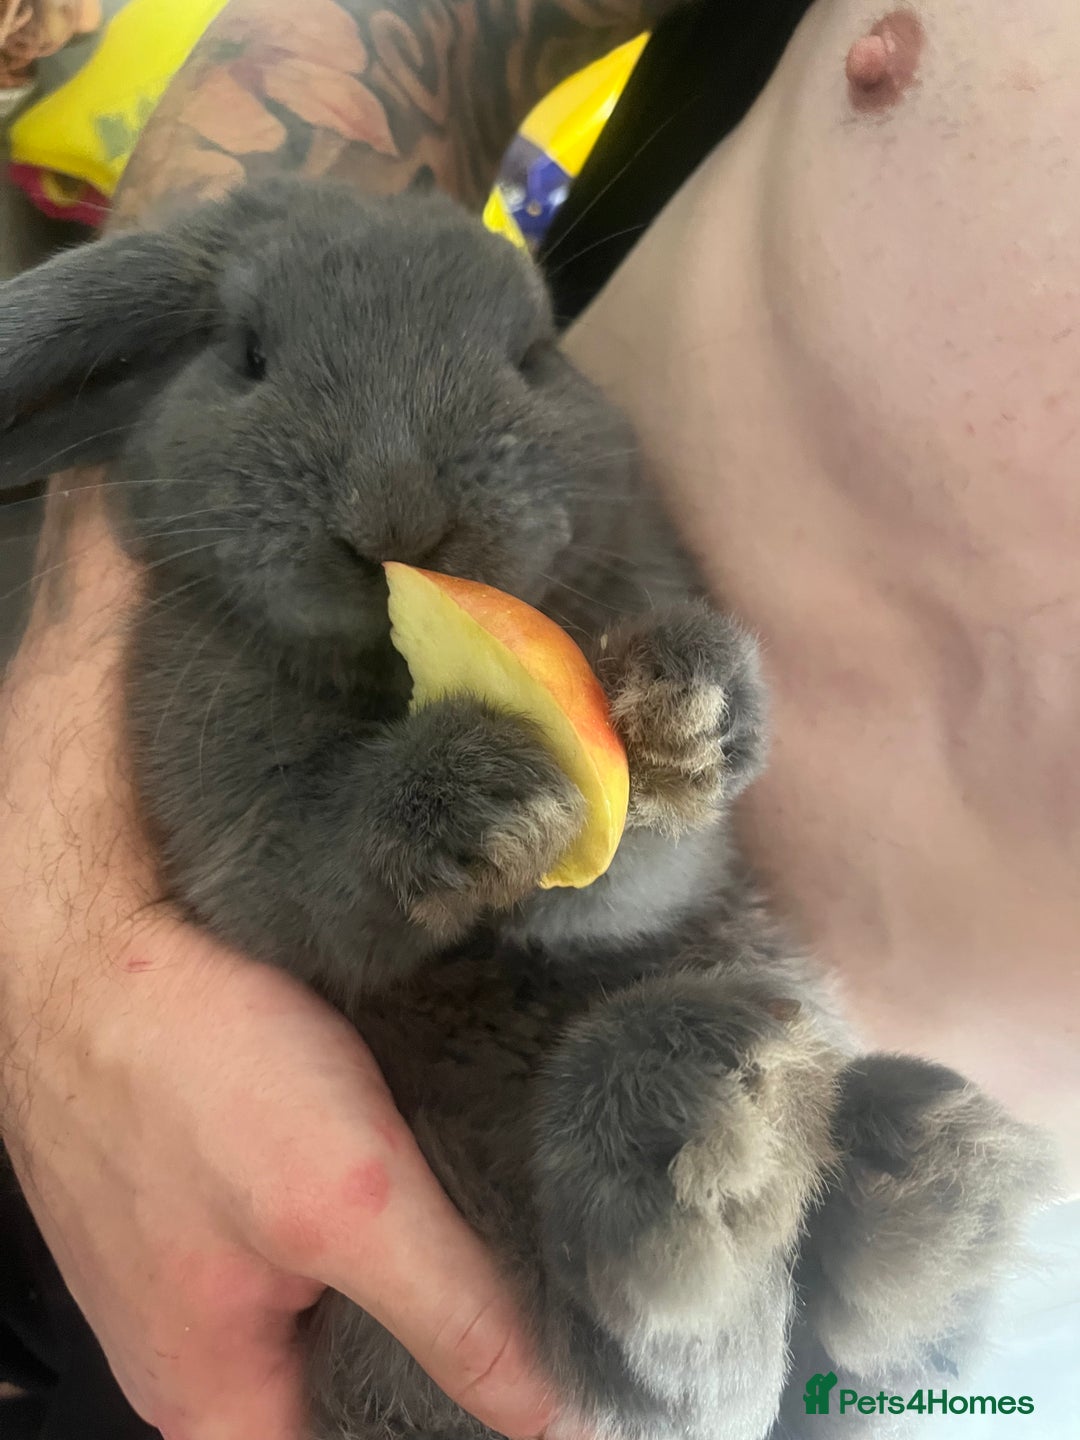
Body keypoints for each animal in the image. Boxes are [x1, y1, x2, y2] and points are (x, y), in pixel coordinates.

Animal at [0, 177, 1055, 1440]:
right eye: (247, 354)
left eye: (534, 354)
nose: (396, 513)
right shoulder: (224, 803)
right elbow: (311, 874)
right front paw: (487, 797)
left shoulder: (640, 869)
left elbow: (634, 873)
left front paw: (689, 709)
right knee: (691, 1355)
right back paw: (745, 1136)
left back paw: (911, 1167)